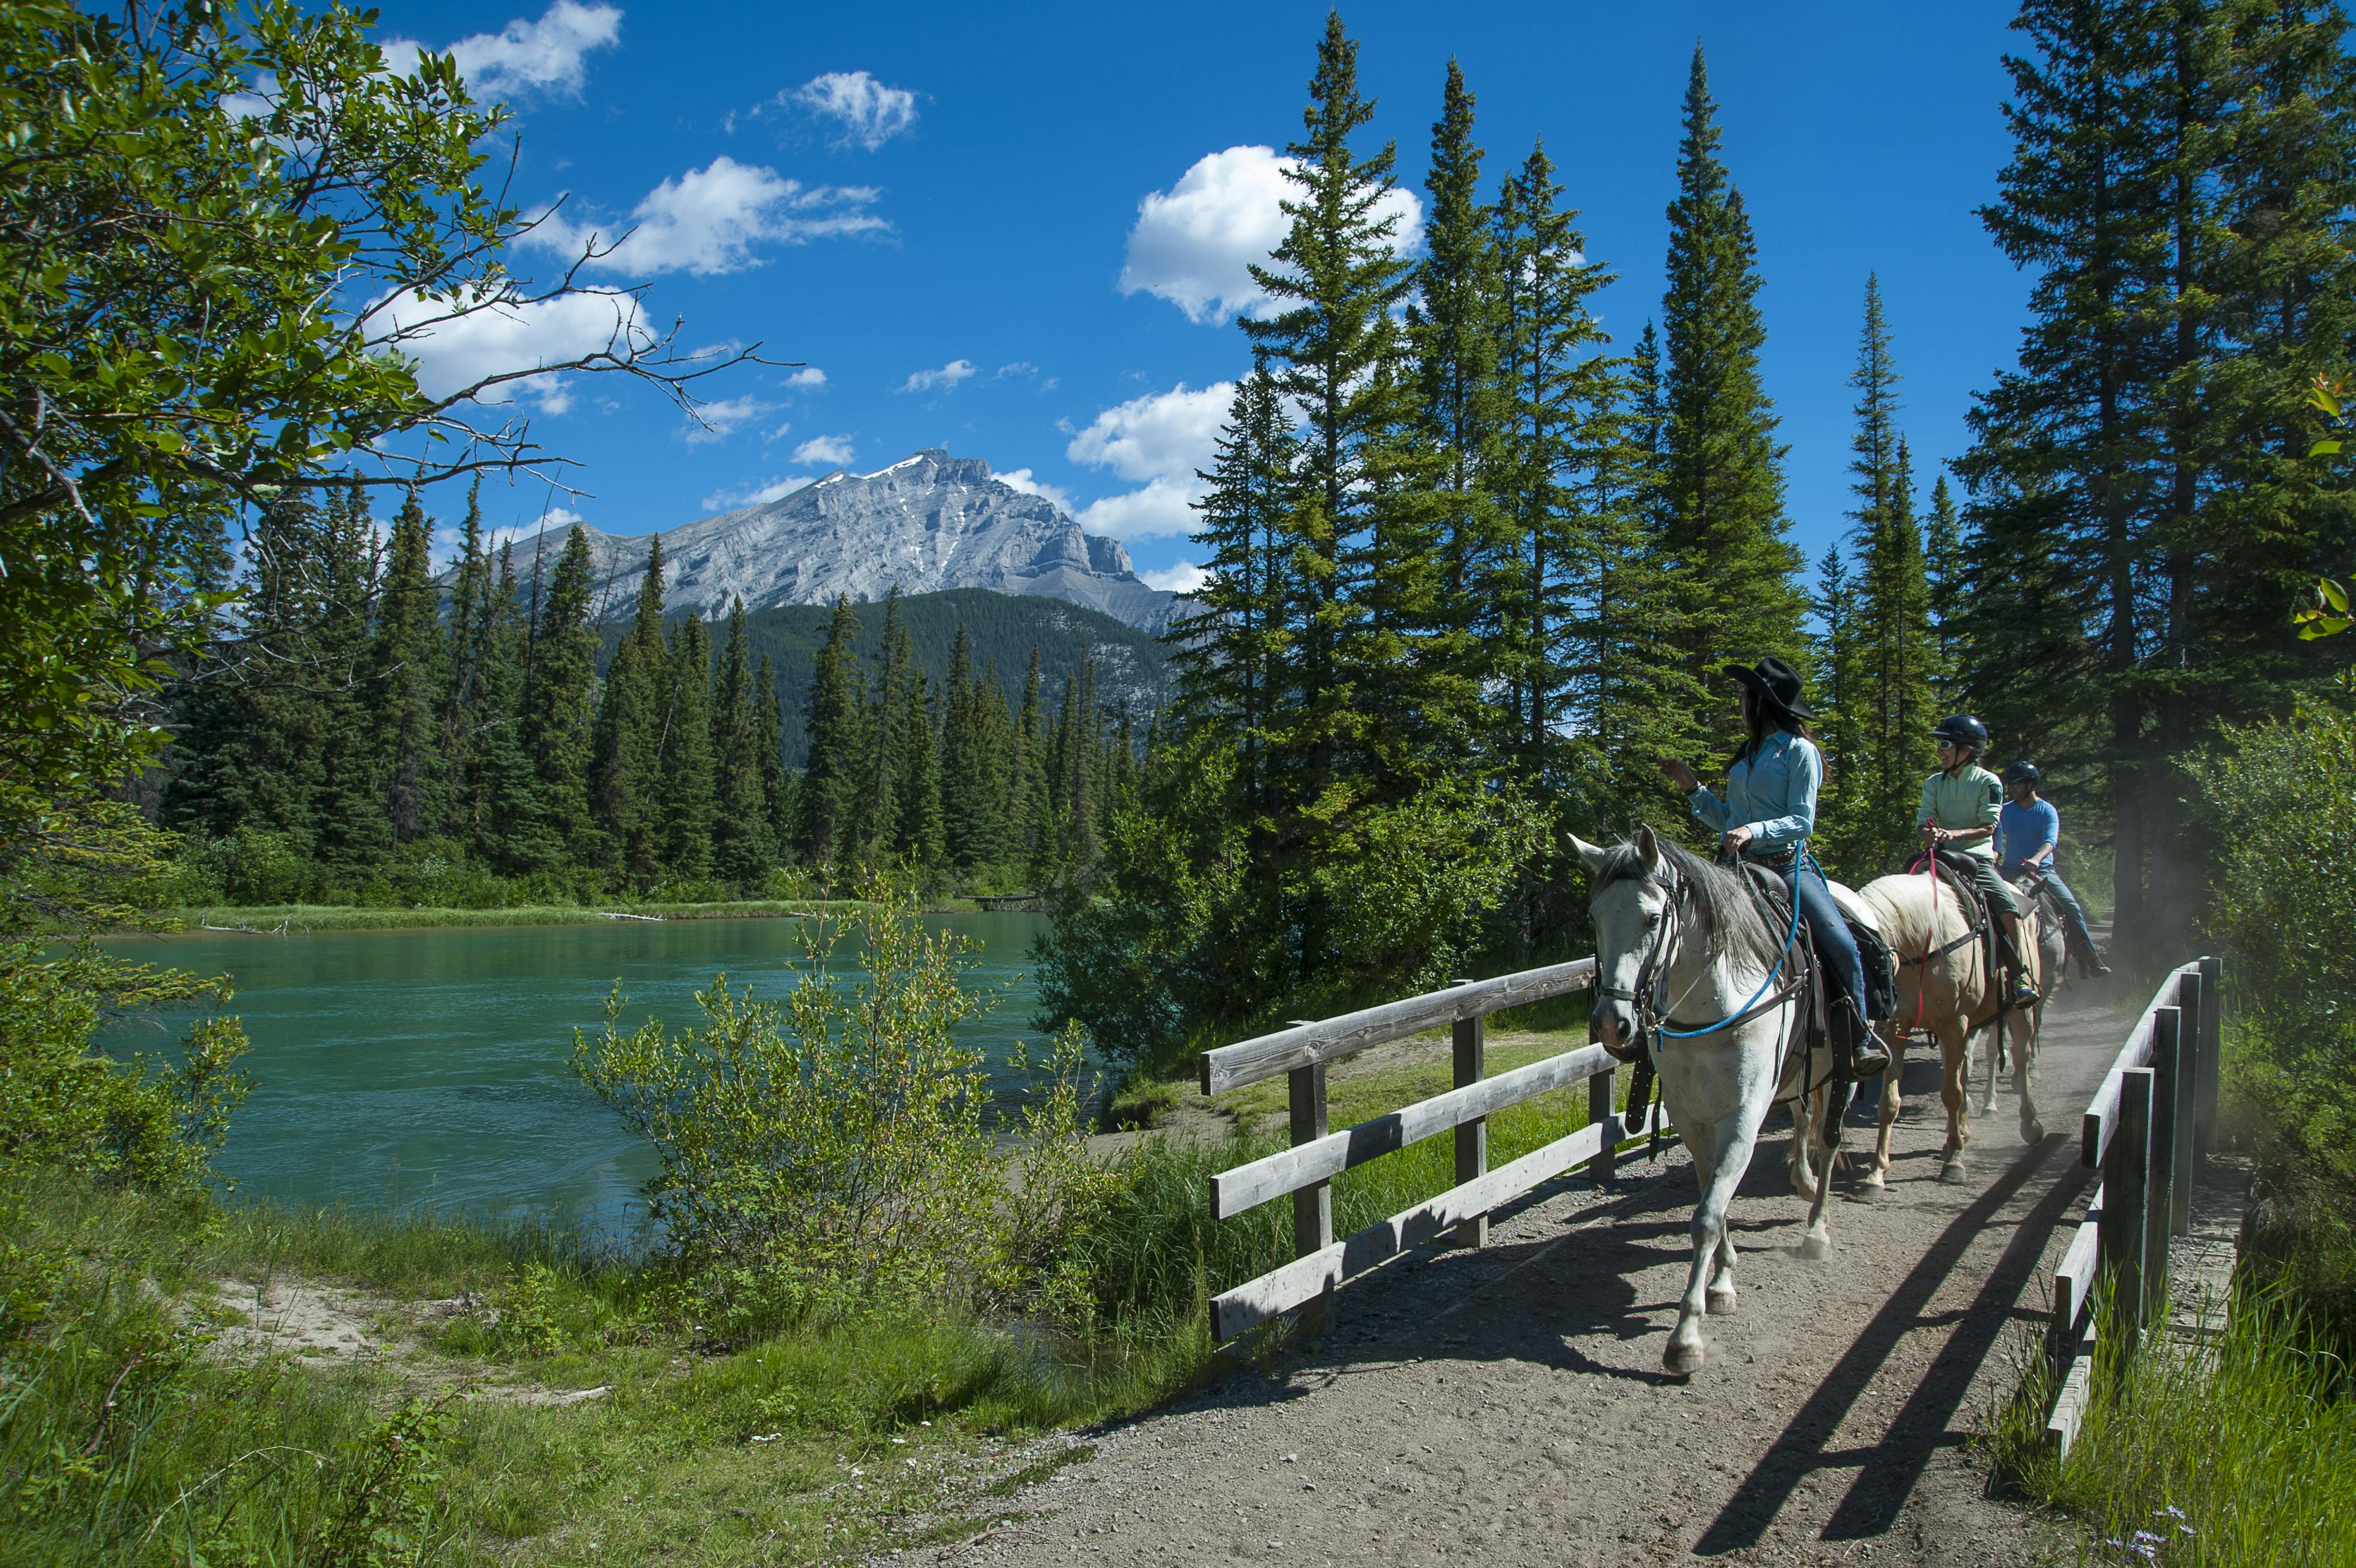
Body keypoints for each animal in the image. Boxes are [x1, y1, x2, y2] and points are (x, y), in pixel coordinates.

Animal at [1573, 825, 1847, 1376]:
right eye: (1595, 917)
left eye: (1652, 918)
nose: (1613, 1025)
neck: (1714, 1007)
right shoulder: (1690, 1118)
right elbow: (1714, 1203)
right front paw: (1722, 1284)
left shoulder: (1741, 1119)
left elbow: (1704, 1217)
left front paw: (1686, 1337)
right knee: (1806, 1121)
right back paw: (1803, 1184)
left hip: (1840, 1071)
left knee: (1830, 1142)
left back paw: (1816, 1231)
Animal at [1819, 858, 2045, 1188]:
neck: (1918, 942)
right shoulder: (1897, 1029)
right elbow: (1890, 1102)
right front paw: (1877, 1173)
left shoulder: (1954, 1024)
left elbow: (1952, 1094)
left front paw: (1955, 1165)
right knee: (1965, 1070)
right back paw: (1957, 1136)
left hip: (2019, 1012)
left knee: (2021, 1058)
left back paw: (2030, 1124)